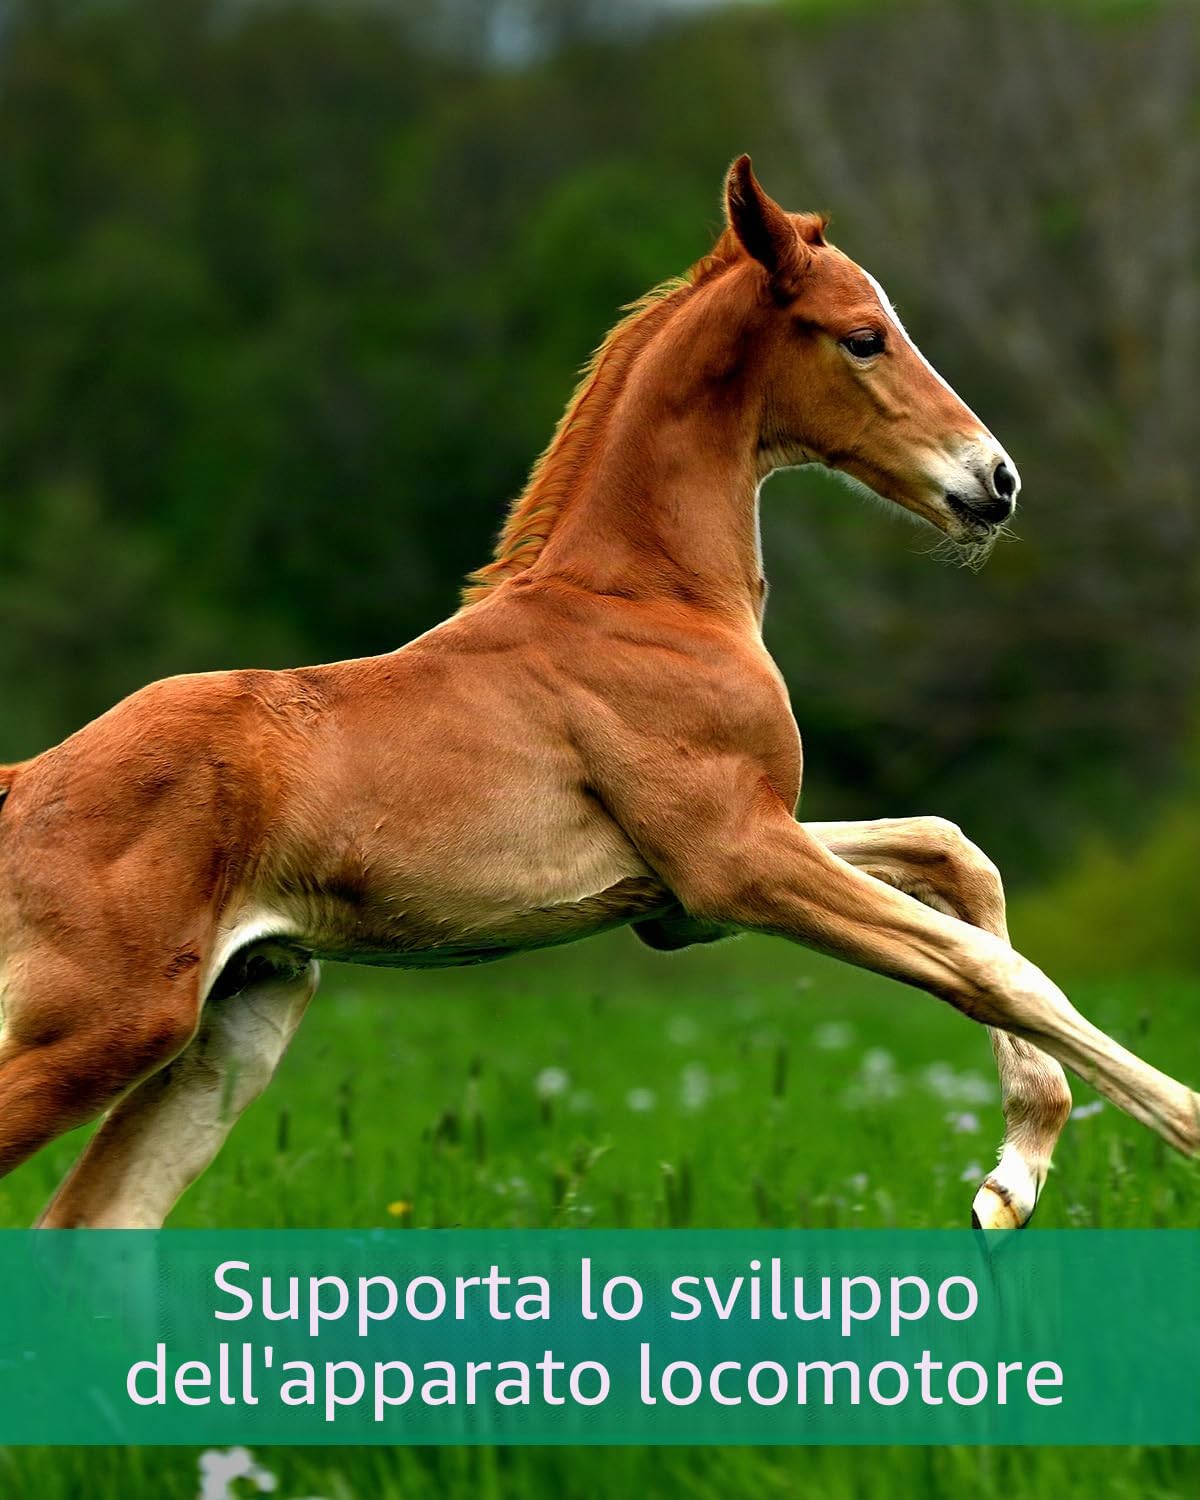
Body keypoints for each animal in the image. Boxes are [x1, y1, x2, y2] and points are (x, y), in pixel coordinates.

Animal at [1, 157, 1196, 1231]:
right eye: (865, 335)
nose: (996, 481)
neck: (651, 600)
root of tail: (18, 785)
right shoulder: (735, 862)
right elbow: (990, 968)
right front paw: (1167, 1128)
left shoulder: (689, 894)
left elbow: (956, 859)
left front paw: (1015, 1175)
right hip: (103, 1031)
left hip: (242, 1019)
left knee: (95, 1225)